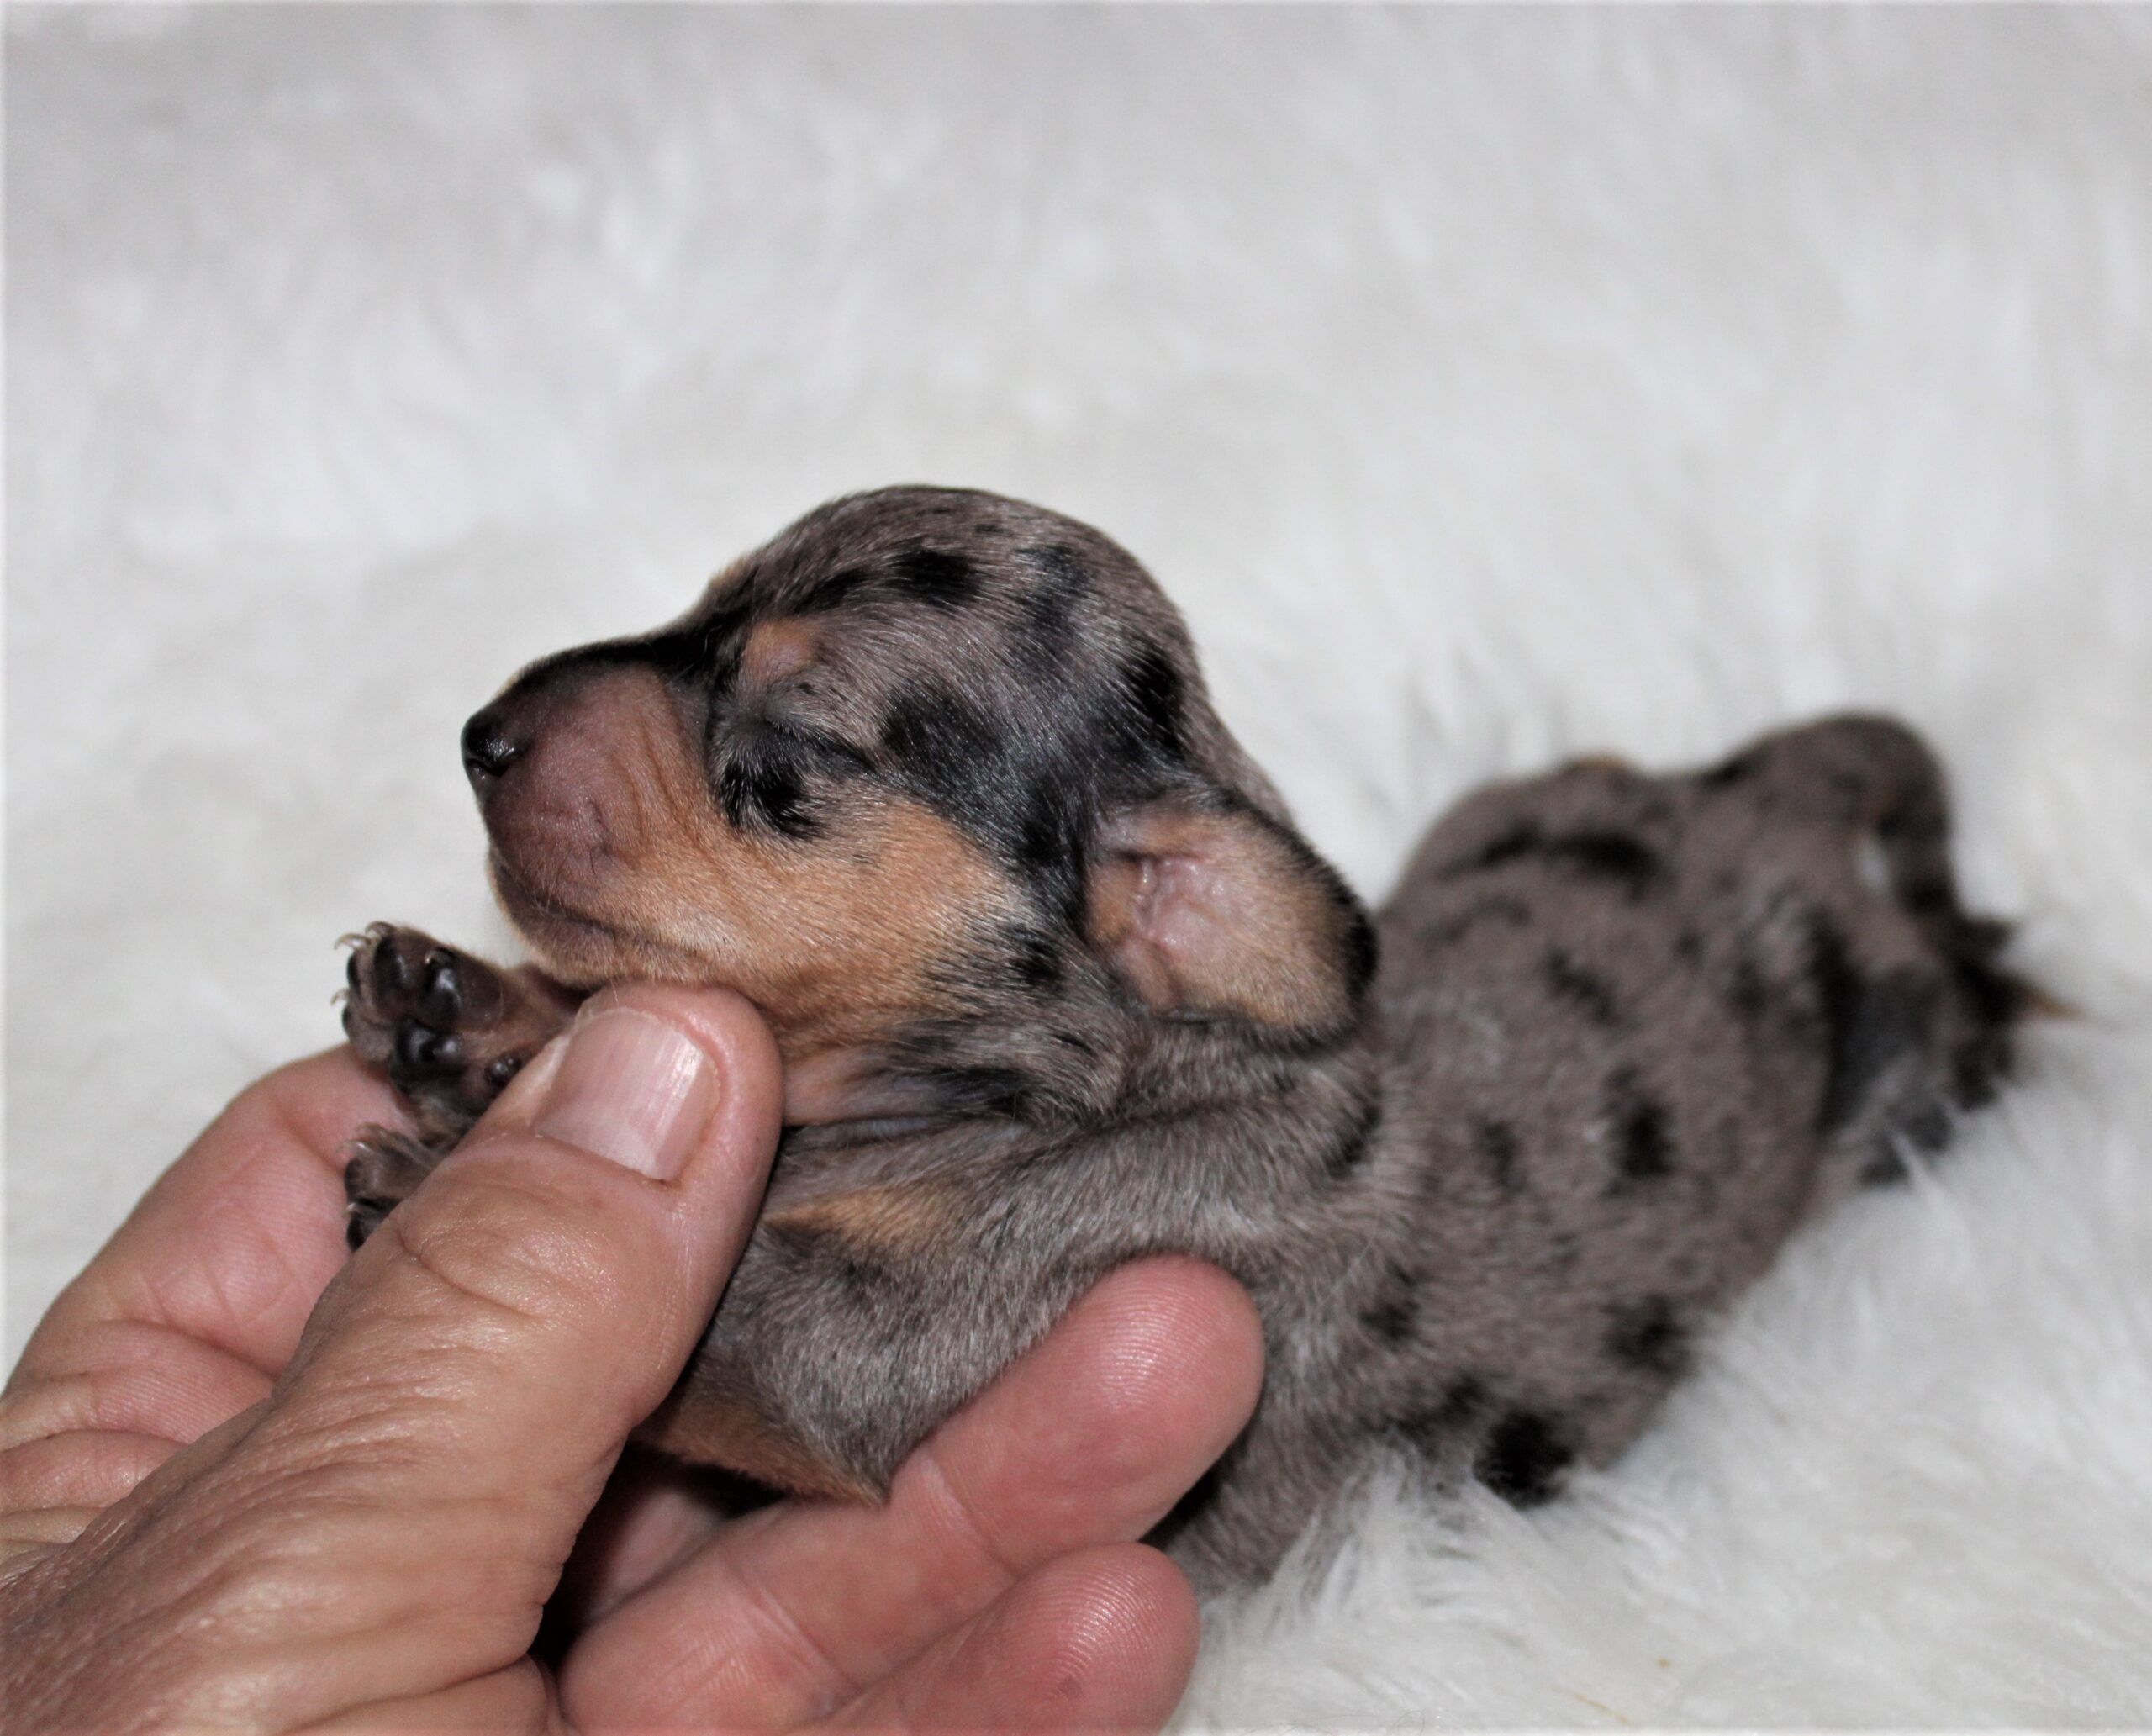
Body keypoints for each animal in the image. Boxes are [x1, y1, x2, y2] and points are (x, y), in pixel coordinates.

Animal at [339, 485, 2035, 1589]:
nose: (481, 734)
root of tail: (1763, 804)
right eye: (697, 607)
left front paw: (433, 1173)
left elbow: (743, 1318)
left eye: (789, 748)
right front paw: (464, 1014)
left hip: (1900, 1060)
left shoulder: (891, 1340)